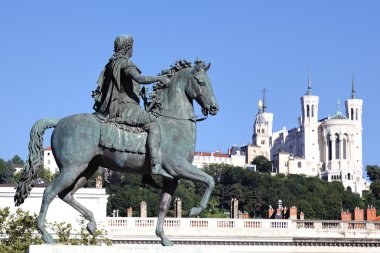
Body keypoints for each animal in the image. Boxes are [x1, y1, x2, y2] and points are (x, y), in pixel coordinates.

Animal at [14, 58, 220, 245]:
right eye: (201, 82)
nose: (214, 108)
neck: (173, 122)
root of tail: (59, 121)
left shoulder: (173, 177)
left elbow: (163, 205)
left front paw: (163, 238)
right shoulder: (178, 167)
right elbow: (210, 180)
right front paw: (195, 210)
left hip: (86, 169)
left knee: (66, 194)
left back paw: (91, 224)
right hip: (72, 168)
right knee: (49, 193)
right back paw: (46, 236)